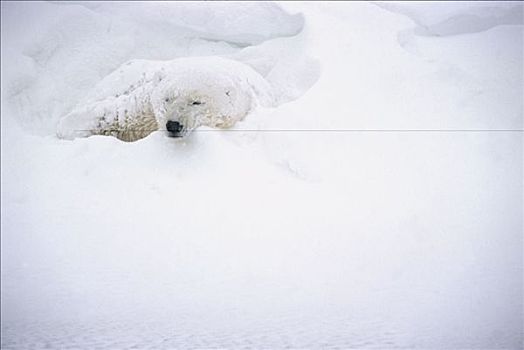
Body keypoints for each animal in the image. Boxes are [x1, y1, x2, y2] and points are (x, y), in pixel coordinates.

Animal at [56, 56, 272, 142]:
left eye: (196, 102)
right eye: (168, 98)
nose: (173, 125)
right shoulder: (146, 104)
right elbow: (118, 115)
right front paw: (67, 130)